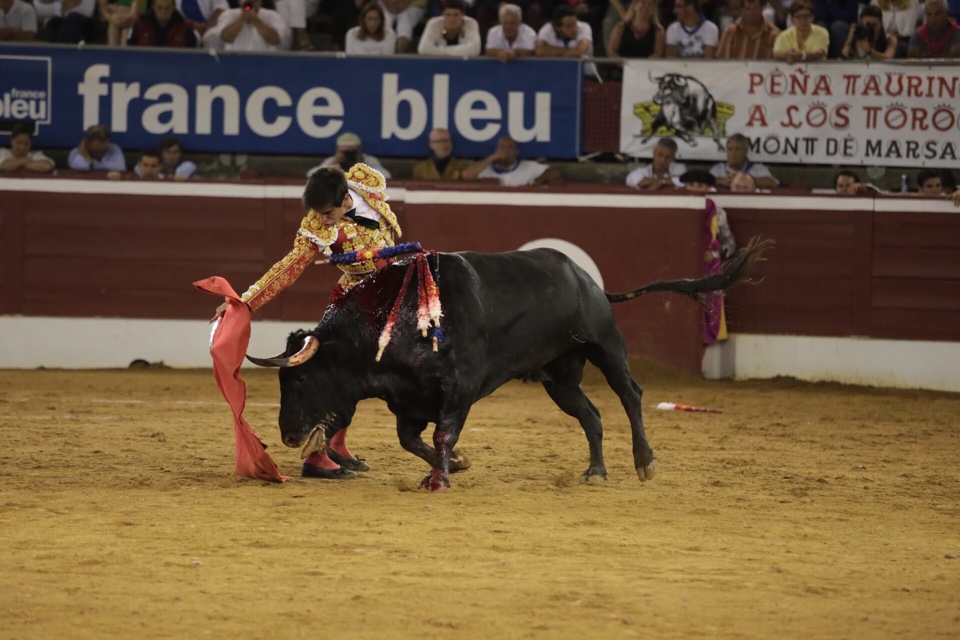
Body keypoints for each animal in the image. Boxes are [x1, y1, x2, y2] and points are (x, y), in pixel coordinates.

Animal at [249, 240, 772, 490]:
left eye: (299, 376)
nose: (288, 435)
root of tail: (590, 282)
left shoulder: (458, 389)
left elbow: (442, 435)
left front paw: (440, 478)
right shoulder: (409, 400)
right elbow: (413, 440)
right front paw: (455, 466)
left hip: (605, 345)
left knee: (630, 395)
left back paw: (645, 462)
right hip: (558, 376)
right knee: (591, 415)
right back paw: (595, 472)